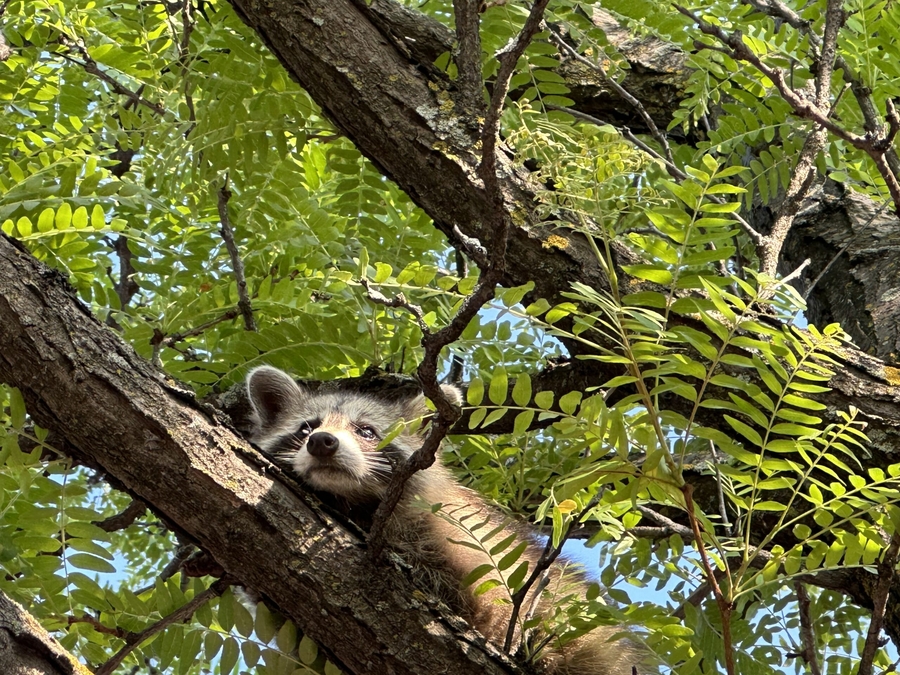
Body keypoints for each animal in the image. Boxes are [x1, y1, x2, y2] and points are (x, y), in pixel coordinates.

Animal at [246, 370, 640, 675]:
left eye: (367, 431)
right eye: (306, 428)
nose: (322, 442)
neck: (352, 500)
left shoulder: (450, 528)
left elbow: (484, 597)